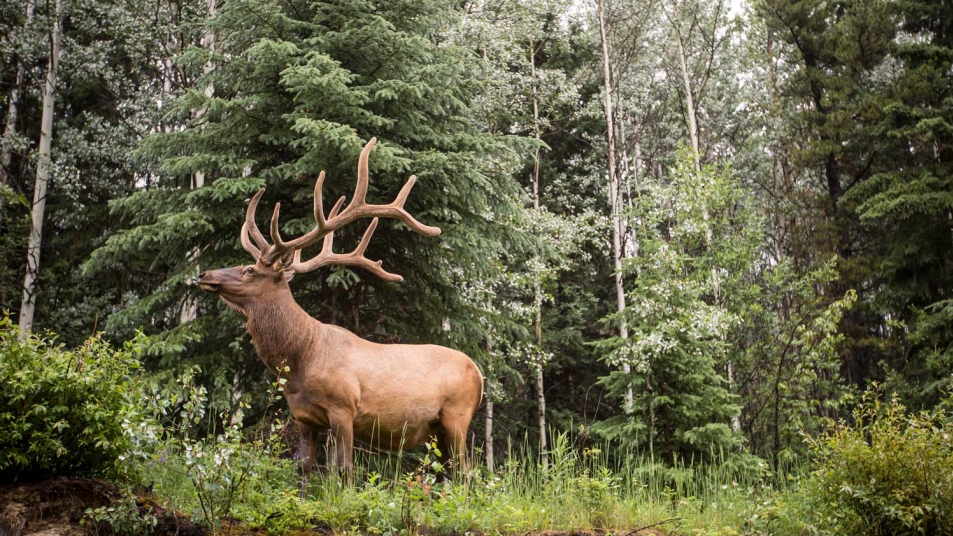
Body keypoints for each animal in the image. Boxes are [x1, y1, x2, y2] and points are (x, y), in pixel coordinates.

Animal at [200, 137, 484, 486]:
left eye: (249, 269)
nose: (205, 274)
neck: (300, 358)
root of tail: (480, 374)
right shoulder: (304, 417)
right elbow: (304, 471)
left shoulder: (343, 408)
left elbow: (343, 470)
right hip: (439, 431)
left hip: (457, 416)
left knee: (466, 474)